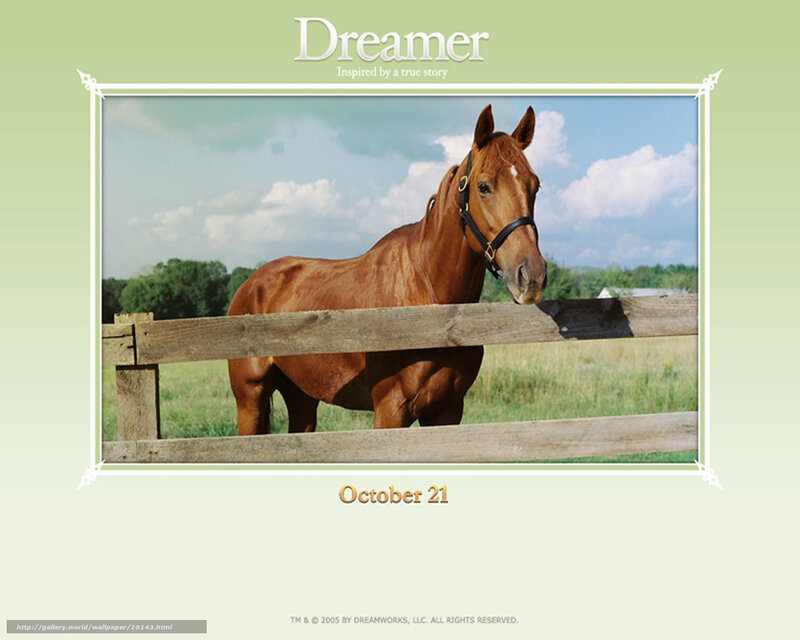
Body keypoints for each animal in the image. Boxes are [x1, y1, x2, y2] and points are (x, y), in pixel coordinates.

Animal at [227, 104, 547, 434]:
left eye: (534, 186)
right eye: (483, 187)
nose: (531, 275)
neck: (430, 301)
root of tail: (252, 284)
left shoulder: (447, 411)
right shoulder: (390, 410)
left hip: (302, 396)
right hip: (250, 399)